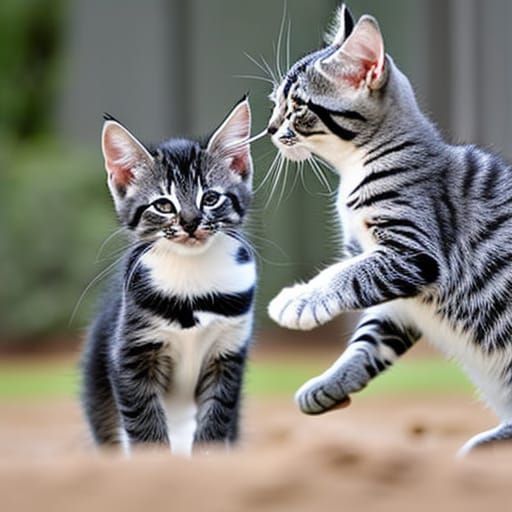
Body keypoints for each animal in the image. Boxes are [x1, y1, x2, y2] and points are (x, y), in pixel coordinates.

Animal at [82, 97, 256, 456]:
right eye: (163, 205)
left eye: (211, 198)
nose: (190, 222)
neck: (192, 279)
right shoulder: (130, 354)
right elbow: (145, 427)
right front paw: (156, 465)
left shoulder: (229, 353)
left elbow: (216, 418)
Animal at [266, 5, 512, 456]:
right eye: (276, 102)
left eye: (296, 107)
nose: (272, 129)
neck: (356, 169)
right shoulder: (398, 300)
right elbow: (369, 340)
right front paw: (330, 384)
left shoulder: (414, 254)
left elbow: (343, 275)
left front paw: (302, 300)